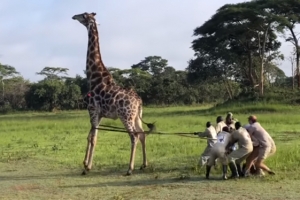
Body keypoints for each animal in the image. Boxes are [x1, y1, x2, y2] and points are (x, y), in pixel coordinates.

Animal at [72, 12, 155, 175]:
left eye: (83, 15)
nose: (73, 16)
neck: (94, 77)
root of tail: (139, 100)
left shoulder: (92, 110)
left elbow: (93, 138)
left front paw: (87, 167)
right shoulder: (99, 114)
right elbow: (90, 136)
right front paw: (85, 164)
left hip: (125, 116)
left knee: (134, 136)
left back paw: (130, 169)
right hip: (136, 116)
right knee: (142, 133)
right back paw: (144, 164)